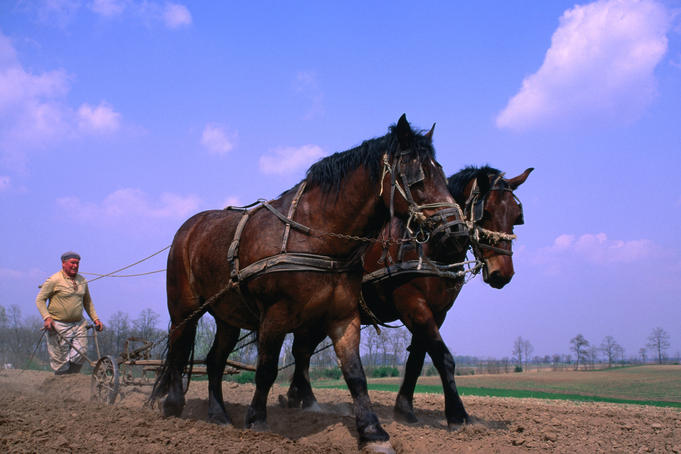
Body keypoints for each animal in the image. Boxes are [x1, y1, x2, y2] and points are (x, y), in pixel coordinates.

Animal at [149, 115, 459, 452]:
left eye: (442, 172)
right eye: (417, 175)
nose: (456, 229)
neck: (316, 236)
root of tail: (188, 228)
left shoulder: (342, 317)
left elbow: (355, 373)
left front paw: (373, 432)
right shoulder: (274, 316)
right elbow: (266, 370)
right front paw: (257, 422)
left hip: (227, 317)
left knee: (214, 361)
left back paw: (218, 415)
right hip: (184, 307)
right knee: (178, 348)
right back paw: (172, 405)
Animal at [282, 165, 533, 430]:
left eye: (516, 216)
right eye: (487, 212)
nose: (502, 274)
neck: (427, 248)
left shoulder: (437, 312)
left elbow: (417, 360)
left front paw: (404, 410)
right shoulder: (413, 304)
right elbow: (443, 358)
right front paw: (457, 415)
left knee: (302, 351)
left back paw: (296, 397)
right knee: (301, 351)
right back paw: (306, 401)